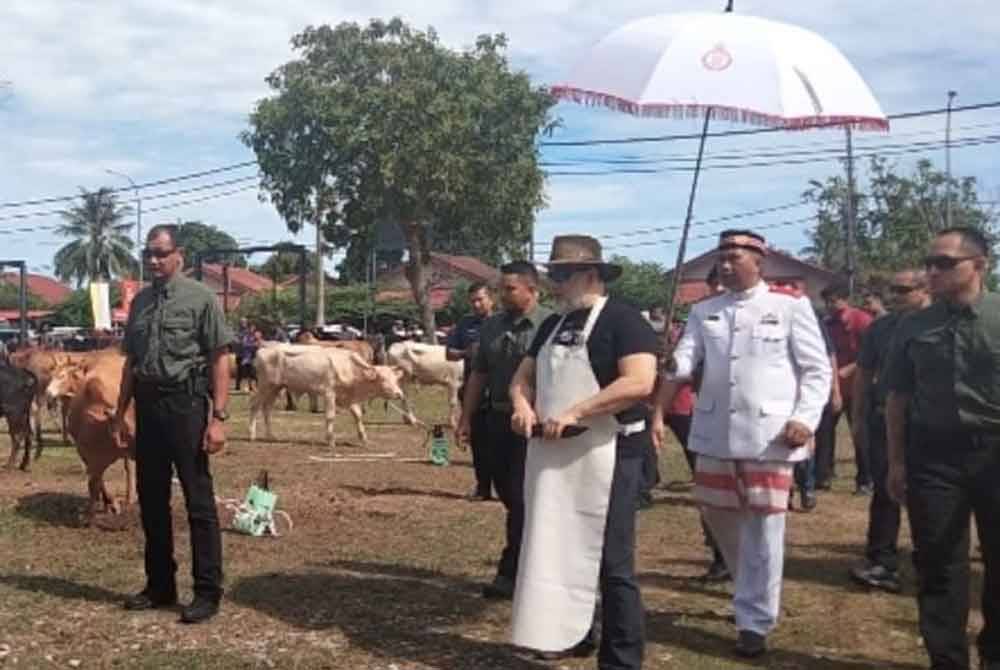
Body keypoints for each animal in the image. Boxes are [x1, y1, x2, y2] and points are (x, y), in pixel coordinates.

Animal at [250, 344, 406, 448]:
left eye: (395, 379)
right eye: (383, 379)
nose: (399, 394)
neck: (348, 367)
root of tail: (263, 350)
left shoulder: (348, 397)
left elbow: (358, 415)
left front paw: (364, 438)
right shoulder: (329, 393)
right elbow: (330, 416)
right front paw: (331, 440)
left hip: (275, 388)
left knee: (267, 409)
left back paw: (271, 436)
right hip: (265, 386)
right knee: (255, 406)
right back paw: (252, 435)